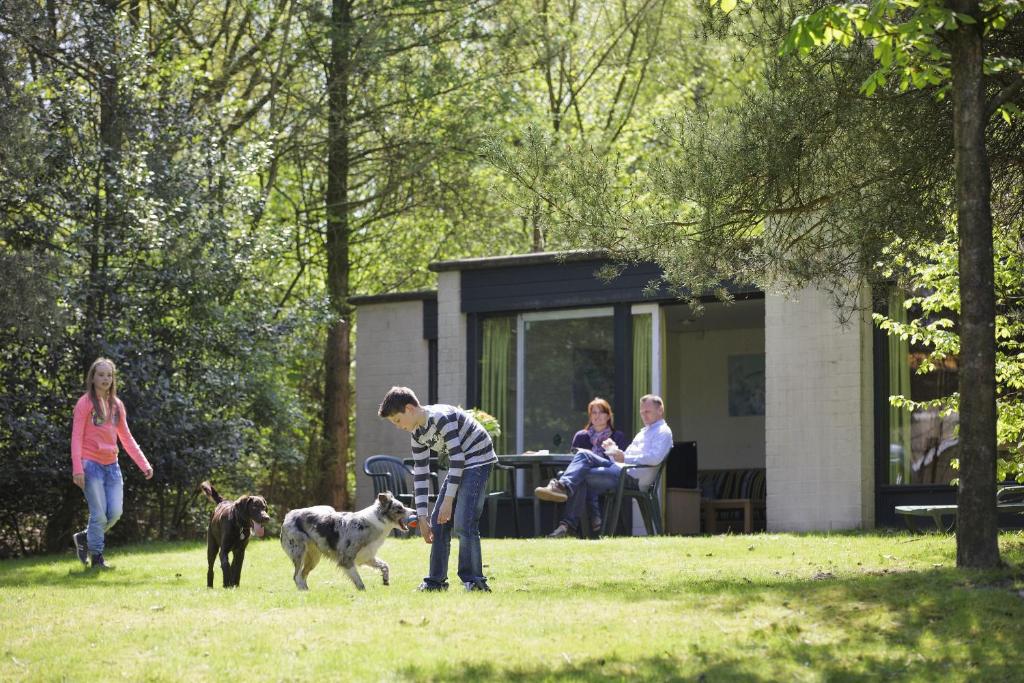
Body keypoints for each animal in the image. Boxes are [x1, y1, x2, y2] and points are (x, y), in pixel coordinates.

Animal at [280, 491, 411, 593]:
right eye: (399, 509)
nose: (414, 511)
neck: (374, 523)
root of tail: (288, 515)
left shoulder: (366, 556)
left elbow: (385, 565)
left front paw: (385, 579)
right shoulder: (347, 559)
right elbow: (358, 580)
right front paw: (364, 593)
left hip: (313, 558)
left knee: (302, 575)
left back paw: (307, 591)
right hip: (299, 553)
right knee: (296, 576)